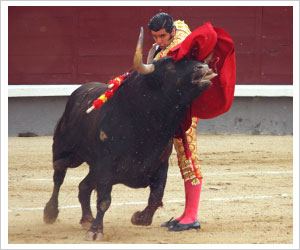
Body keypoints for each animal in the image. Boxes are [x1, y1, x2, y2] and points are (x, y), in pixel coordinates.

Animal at [42, 27, 216, 240]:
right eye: (169, 67)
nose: (203, 67)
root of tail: (79, 91)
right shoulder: (106, 167)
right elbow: (104, 200)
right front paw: (96, 232)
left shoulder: (160, 164)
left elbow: (156, 196)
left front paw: (140, 218)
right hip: (63, 150)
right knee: (58, 177)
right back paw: (51, 212)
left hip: (92, 167)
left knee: (83, 186)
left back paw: (86, 219)